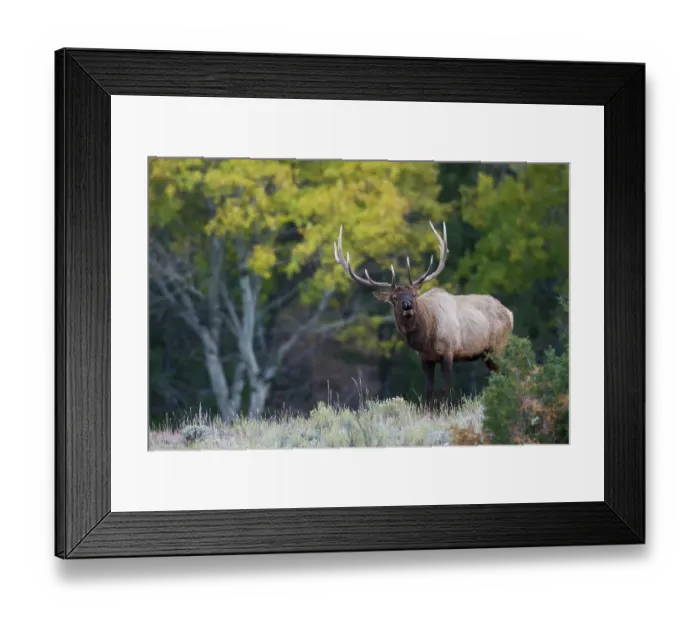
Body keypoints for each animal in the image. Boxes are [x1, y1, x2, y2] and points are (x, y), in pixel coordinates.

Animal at [333, 221, 514, 407]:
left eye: (413, 294)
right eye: (394, 298)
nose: (407, 305)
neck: (426, 338)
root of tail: (510, 313)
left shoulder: (449, 350)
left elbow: (444, 389)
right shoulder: (425, 359)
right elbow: (428, 392)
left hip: (498, 346)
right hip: (487, 354)